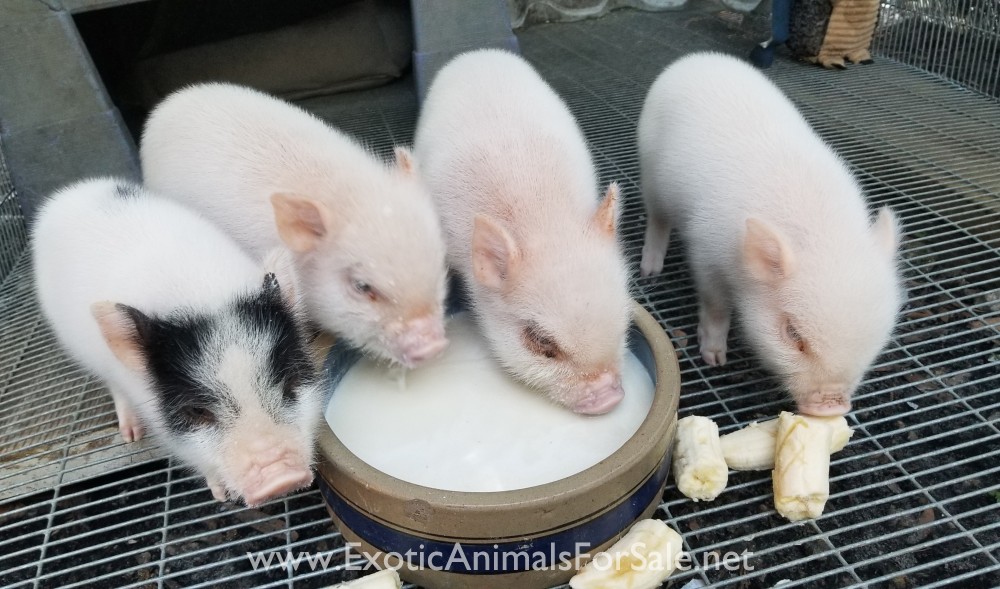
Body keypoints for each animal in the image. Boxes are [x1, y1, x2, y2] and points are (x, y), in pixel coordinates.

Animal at [31, 177, 323, 507]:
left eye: (290, 383)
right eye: (197, 410)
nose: (283, 480)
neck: (202, 295)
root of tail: (69, 194)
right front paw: (220, 497)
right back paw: (131, 435)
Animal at [638, 52, 904, 416]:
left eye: (875, 338)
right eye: (793, 333)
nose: (832, 405)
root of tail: (695, 59)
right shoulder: (706, 253)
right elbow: (716, 305)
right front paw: (715, 359)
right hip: (650, 172)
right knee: (657, 219)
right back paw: (650, 271)